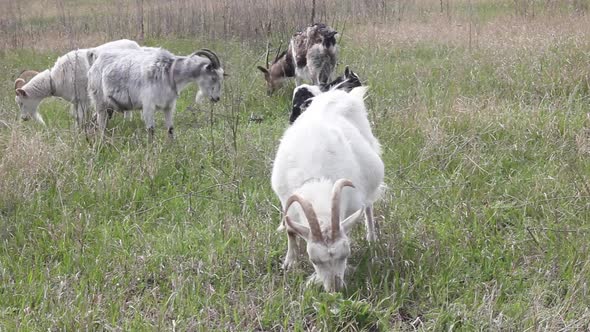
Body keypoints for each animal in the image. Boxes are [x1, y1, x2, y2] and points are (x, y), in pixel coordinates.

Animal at [87, 47, 224, 139]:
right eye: (213, 77)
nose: (217, 98)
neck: (170, 72)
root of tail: (95, 63)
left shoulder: (169, 106)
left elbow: (170, 129)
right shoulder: (148, 106)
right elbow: (151, 130)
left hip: (108, 105)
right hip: (100, 101)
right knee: (101, 123)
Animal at [272, 86, 386, 294]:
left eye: (345, 254)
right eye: (314, 260)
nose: (335, 289)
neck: (317, 181)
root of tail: (340, 93)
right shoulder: (285, 199)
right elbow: (290, 230)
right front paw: (289, 263)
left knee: (368, 207)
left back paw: (372, 239)